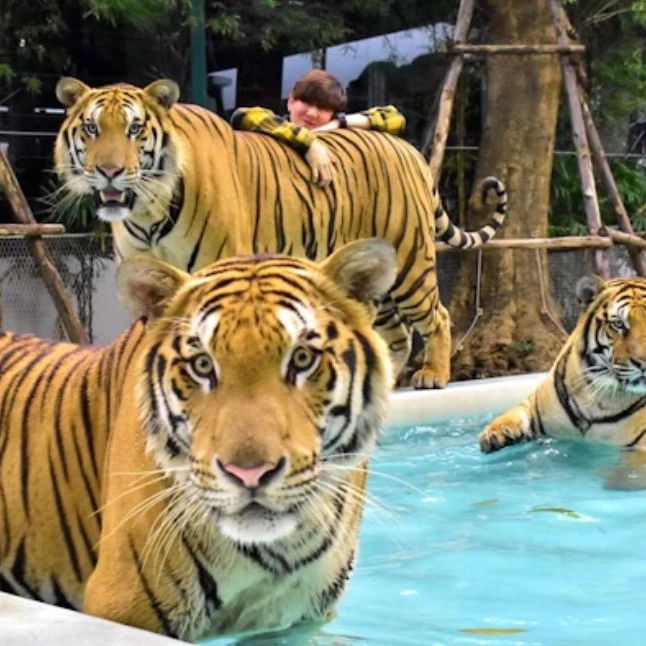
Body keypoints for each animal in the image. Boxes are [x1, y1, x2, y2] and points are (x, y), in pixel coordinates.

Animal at [0, 238, 396, 640]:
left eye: (302, 358)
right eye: (202, 365)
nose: (249, 474)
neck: (280, 550)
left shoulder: (298, 618)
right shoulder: (123, 601)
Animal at [54, 76, 508, 390]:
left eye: (134, 129)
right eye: (92, 129)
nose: (109, 171)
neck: (150, 211)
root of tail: (408, 148)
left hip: (410, 260)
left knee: (437, 316)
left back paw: (433, 374)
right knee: (395, 335)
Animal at [479, 276, 646, 486]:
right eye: (618, 324)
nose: (644, 362)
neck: (600, 396)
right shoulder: (536, 403)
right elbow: (515, 411)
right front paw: (495, 434)